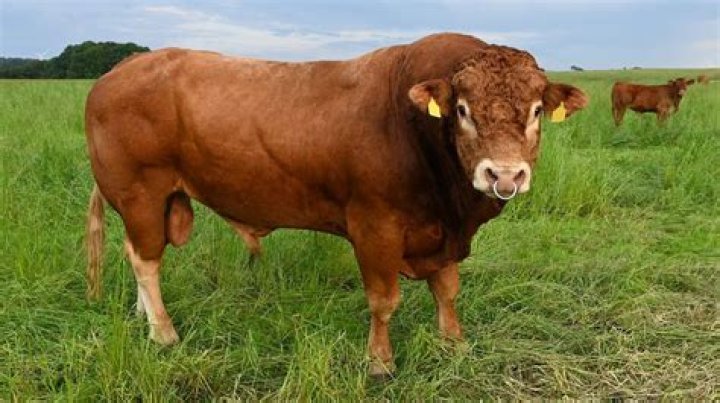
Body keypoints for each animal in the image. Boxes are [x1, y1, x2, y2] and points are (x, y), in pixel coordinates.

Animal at [85, 33, 588, 377]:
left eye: (537, 111)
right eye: (463, 109)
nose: (504, 175)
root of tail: (123, 67)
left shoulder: (444, 233)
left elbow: (447, 291)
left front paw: (454, 345)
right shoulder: (374, 227)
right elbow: (384, 300)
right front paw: (380, 362)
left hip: (157, 200)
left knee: (138, 254)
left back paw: (144, 318)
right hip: (140, 191)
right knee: (146, 260)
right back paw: (164, 333)